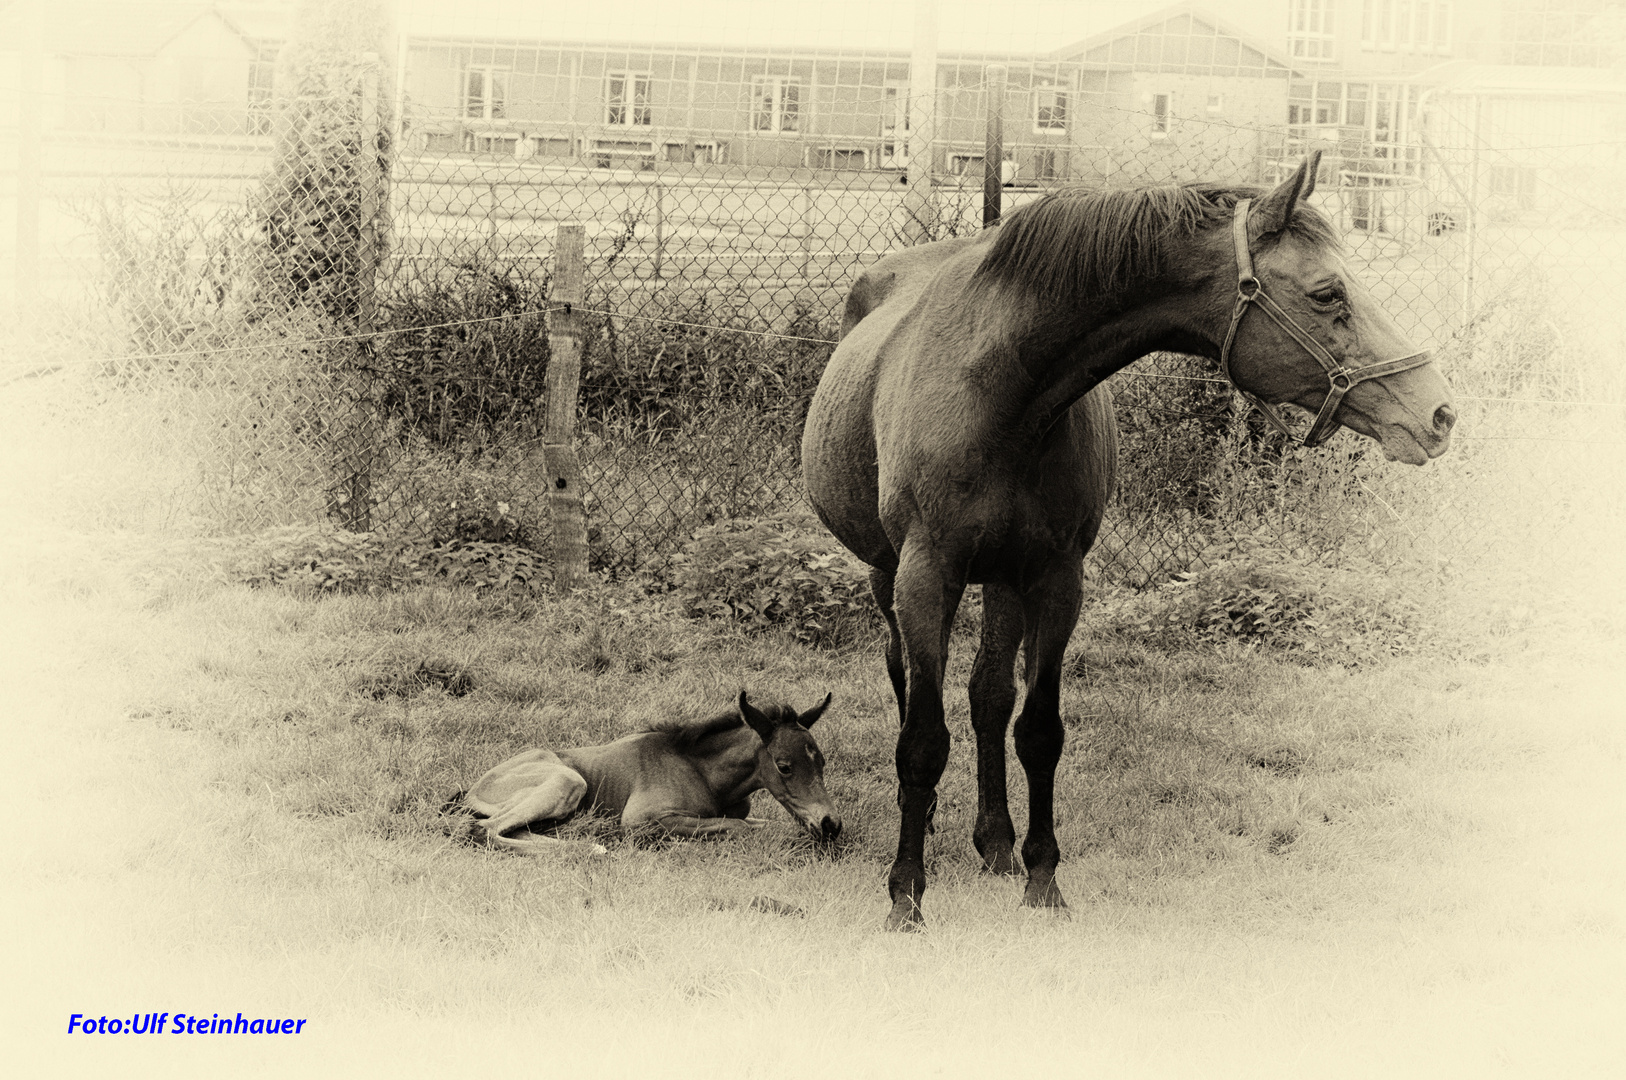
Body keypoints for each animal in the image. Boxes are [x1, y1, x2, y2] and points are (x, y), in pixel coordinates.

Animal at [452, 692, 845, 852]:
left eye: (822, 763)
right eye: (784, 766)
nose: (831, 824)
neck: (703, 772)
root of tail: (472, 788)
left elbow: (764, 824)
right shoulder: (643, 820)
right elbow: (737, 827)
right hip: (567, 781)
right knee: (482, 830)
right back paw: (590, 849)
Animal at [806, 156, 1456, 930]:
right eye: (1328, 293)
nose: (1439, 413)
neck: (1001, 392)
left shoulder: (1055, 578)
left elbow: (1038, 731)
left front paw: (1043, 880)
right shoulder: (924, 576)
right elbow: (923, 742)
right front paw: (905, 894)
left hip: (1002, 578)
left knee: (988, 695)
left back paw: (995, 842)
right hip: (886, 576)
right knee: (904, 677)